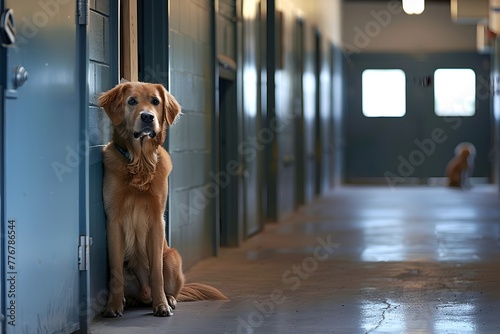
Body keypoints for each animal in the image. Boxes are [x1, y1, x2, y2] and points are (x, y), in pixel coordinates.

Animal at [99, 81, 227, 318]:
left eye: (155, 101)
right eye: (132, 101)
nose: (148, 117)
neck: (140, 162)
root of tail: (143, 293)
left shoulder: (157, 220)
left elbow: (156, 272)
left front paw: (161, 305)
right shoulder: (113, 221)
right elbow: (115, 272)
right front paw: (113, 306)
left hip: (172, 257)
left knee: (169, 285)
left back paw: (168, 299)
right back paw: (129, 300)